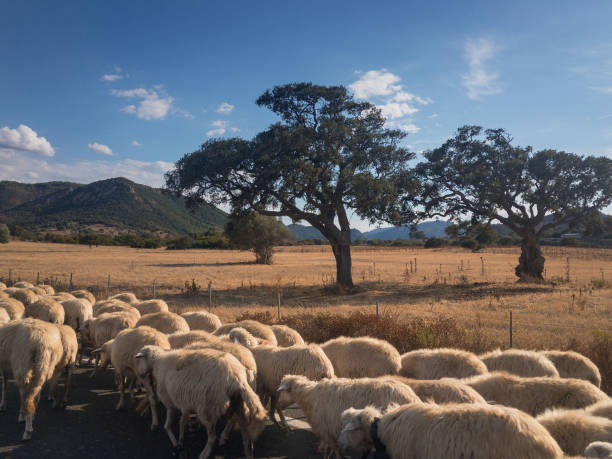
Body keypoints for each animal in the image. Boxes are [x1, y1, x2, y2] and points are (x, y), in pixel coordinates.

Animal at [135, 346, 266, 458]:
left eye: (140, 359)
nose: (140, 375)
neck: (158, 362)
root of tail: (237, 377)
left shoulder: (169, 402)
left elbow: (167, 426)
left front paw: (176, 445)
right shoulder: (185, 404)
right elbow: (182, 422)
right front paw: (180, 442)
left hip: (208, 410)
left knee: (212, 437)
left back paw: (204, 454)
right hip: (238, 405)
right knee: (244, 431)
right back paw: (248, 452)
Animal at [278, 376, 420, 458]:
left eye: (284, 390)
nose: (278, 405)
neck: (308, 395)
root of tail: (412, 397)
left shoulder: (326, 430)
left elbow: (333, 451)